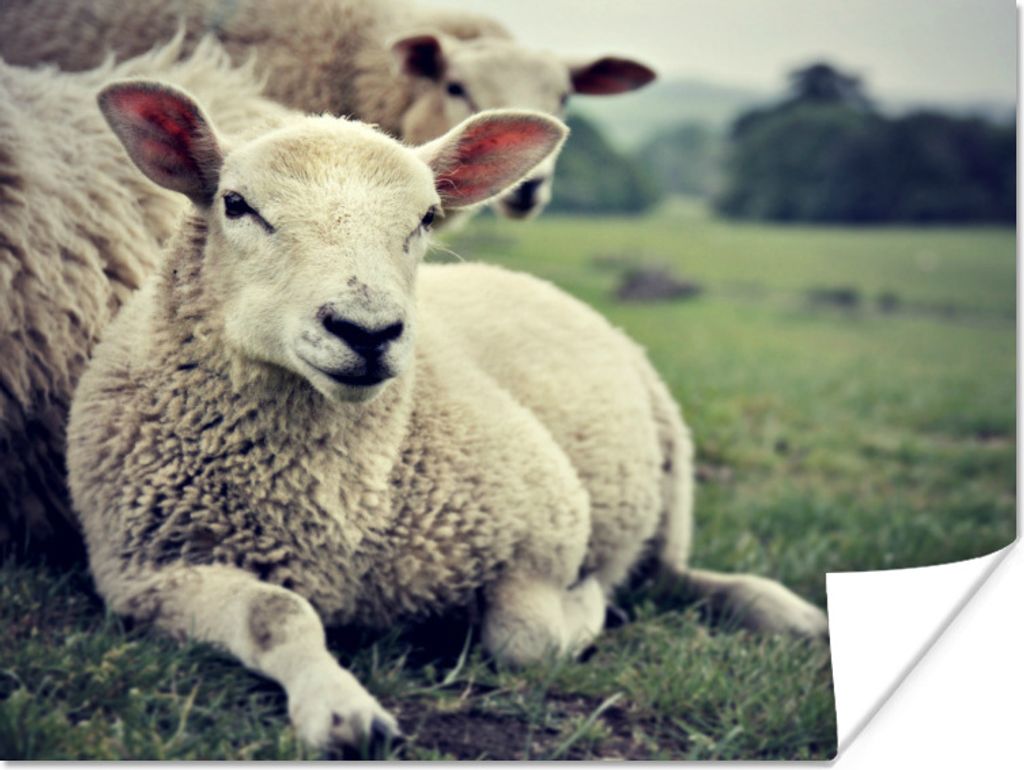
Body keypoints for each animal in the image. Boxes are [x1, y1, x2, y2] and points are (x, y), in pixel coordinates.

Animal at [67, 80, 828, 753]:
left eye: (427, 218)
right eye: (235, 203)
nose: (367, 330)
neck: (330, 507)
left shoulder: (545, 528)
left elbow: (529, 640)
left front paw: (586, 607)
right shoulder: (147, 572)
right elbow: (276, 613)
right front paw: (340, 711)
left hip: (672, 482)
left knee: (675, 575)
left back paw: (791, 613)